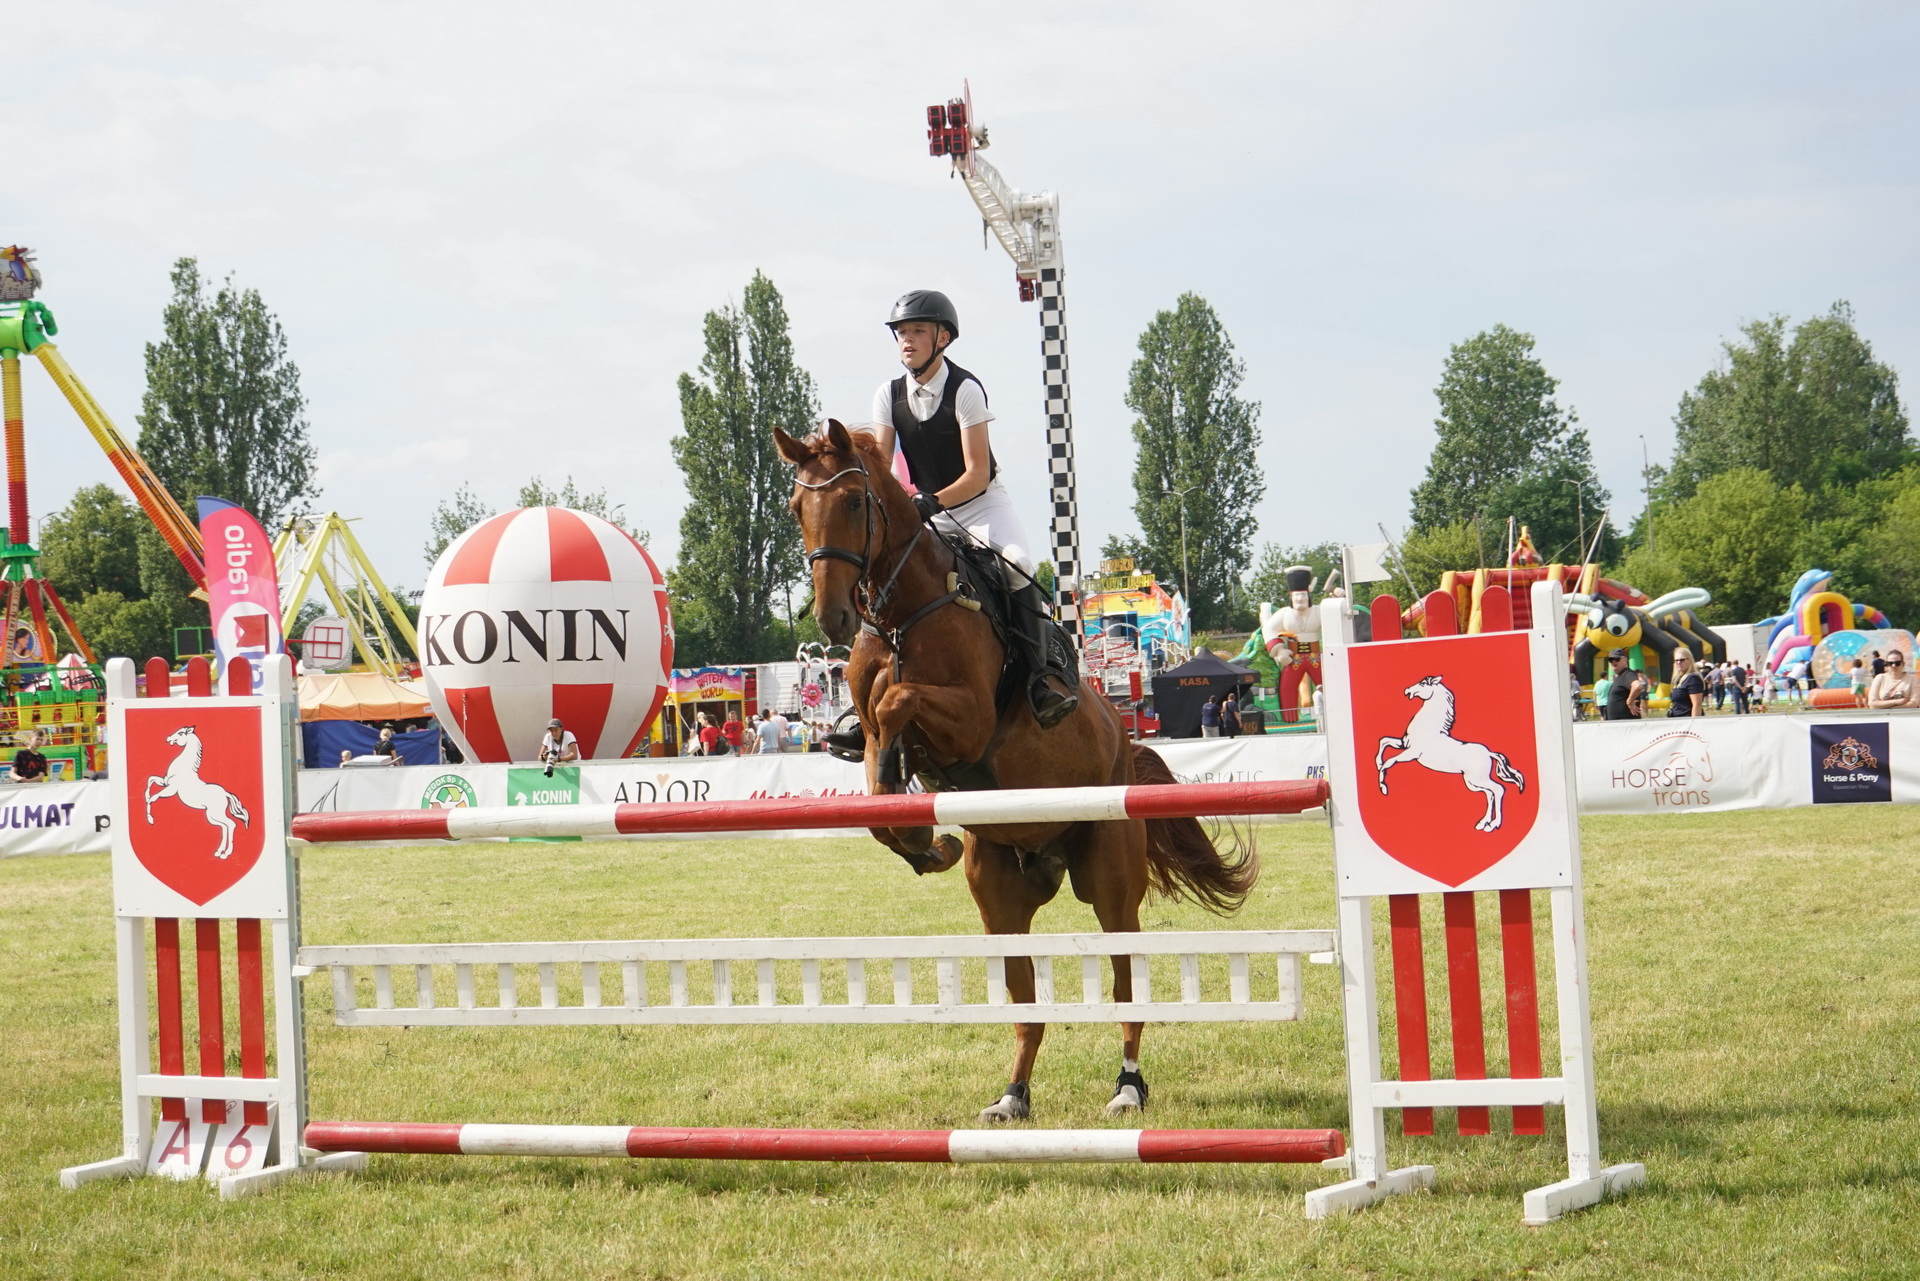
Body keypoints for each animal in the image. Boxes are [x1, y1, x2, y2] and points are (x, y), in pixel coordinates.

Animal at [144, 726, 252, 859]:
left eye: (180, 733)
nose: (168, 738)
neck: (182, 768)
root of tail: (225, 793)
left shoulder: (171, 789)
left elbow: (154, 798)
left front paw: (150, 819)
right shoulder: (164, 782)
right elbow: (150, 780)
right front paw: (146, 797)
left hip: (215, 813)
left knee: (231, 824)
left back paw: (225, 854)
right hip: (211, 816)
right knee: (224, 826)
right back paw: (218, 852)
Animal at [776, 420, 1257, 1122]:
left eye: (856, 503)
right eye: (796, 508)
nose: (834, 619)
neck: (904, 613)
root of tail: (1124, 741)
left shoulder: (971, 719)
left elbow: (899, 700)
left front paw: (919, 824)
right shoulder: (865, 731)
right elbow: (878, 779)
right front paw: (924, 841)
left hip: (1110, 883)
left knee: (1126, 984)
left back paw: (1128, 1087)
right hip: (1001, 893)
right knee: (1027, 1007)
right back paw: (1012, 1097)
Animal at [1374, 675, 1525, 832]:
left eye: (1423, 683)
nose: (1407, 690)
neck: (1427, 728)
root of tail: (1489, 753)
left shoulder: (1411, 753)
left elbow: (1389, 762)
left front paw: (1383, 788)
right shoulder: (1403, 745)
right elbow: (1384, 741)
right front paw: (1378, 764)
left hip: (1477, 779)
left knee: (1498, 789)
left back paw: (1493, 825)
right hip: (1472, 782)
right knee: (1489, 794)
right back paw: (1483, 823)